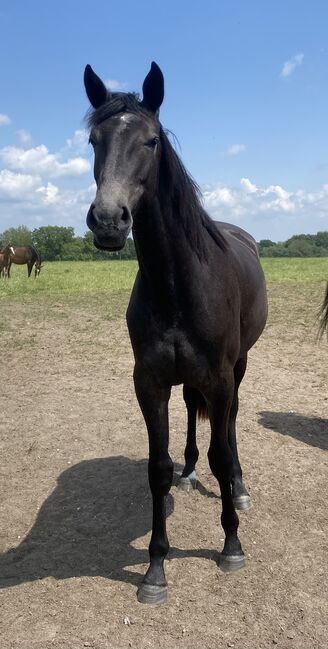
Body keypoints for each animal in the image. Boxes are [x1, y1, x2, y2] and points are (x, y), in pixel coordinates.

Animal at [83, 60, 268, 604]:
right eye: (94, 141)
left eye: (150, 140)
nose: (108, 220)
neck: (178, 280)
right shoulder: (150, 382)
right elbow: (156, 466)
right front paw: (155, 568)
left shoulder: (221, 377)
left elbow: (222, 453)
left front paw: (231, 546)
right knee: (190, 418)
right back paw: (187, 475)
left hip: (237, 368)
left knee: (229, 427)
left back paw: (239, 488)